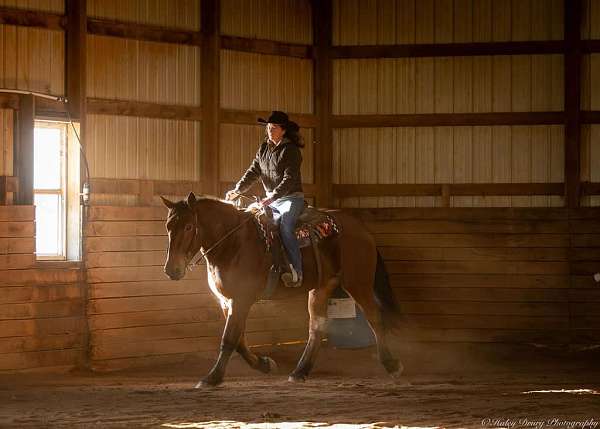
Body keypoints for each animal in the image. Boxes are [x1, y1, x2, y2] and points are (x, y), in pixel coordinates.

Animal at [159, 192, 404, 386]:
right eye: (168, 227)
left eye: (189, 226)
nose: (172, 270)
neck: (233, 243)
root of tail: (362, 230)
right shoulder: (227, 301)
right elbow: (239, 341)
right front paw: (265, 364)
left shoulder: (241, 299)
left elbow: (229, 339)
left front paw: (212, 378)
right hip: (321, 288)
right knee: (317, 327)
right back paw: (300, 371)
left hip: (358, 283)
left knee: (374, 318)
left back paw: (392, 365)